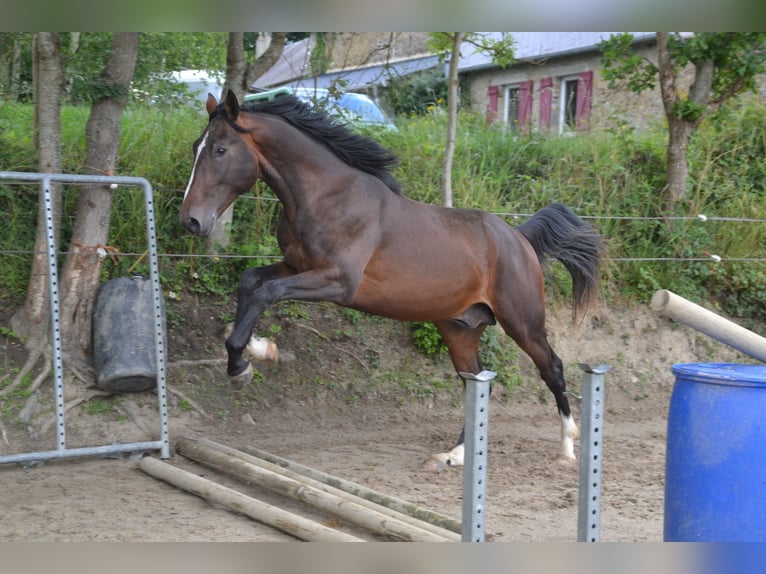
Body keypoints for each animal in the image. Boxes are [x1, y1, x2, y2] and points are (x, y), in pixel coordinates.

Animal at [182, 89, 608, 468]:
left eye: (220, 149)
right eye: (196, 146)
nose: (191, 221)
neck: (327, 197)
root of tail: (519, 238)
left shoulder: (338, 282)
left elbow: (266, 292)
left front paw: (247, 362)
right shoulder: (296, 266)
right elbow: (250, 281)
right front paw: (251, 353)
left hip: (523, 322)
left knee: (552, 367)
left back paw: (568, 448)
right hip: (459, 329)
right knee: (473, 380)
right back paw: (455, 456)